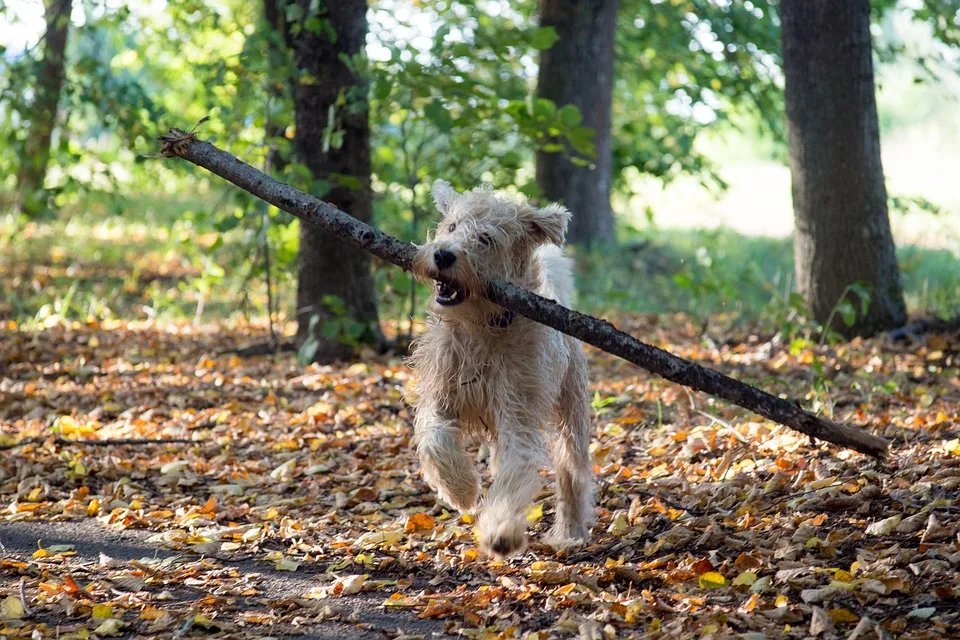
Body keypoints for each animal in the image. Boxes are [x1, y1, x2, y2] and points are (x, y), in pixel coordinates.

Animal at [404, 179, 592, 556]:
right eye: (452, 226)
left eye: (486, 238)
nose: (443, 254)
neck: (483, 327)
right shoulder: (440, 396)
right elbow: (435, 441)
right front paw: (461, 489)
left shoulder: (518, 414)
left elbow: (515, 473)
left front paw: (501, 532)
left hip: (571, 414)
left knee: (572, 474)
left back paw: (571, 532)